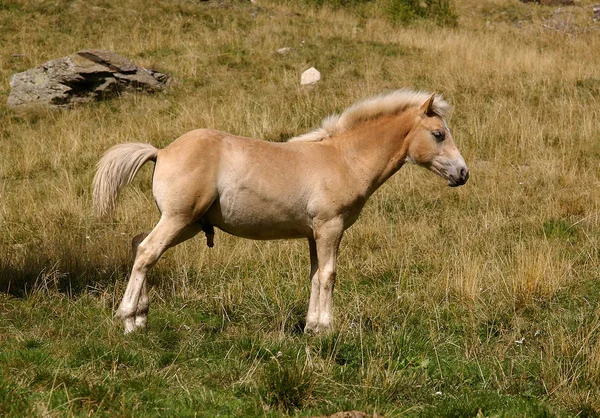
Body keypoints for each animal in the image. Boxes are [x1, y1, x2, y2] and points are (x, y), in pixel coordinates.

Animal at [92, 90, 468, 334]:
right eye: (438, 134)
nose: (462, 173)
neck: (344, 159)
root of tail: (162, 151)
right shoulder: (330, 227)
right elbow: (329, 275)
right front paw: (327, 328)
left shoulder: (315, 234)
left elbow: (315, 275)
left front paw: (313, 327)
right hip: (179, 218)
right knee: (146, 251)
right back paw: (126, 316)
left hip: (188, 224)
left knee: (139, 244)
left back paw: (139, 318)